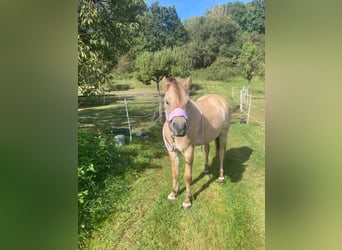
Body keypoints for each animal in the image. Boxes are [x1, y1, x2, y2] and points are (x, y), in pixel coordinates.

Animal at [162, 76, 231, 209]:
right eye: (166, 102)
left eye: (188, 102)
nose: (179, 127)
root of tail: (219, 99)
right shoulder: (172, 152)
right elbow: (175, 173)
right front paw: (173, 193)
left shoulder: (189, 151)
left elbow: (187, 176)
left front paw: (187, 200)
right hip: (208, 137)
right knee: (207, 150)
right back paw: (206, 169)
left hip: (223, 134)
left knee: (221, 154)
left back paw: (221, 176)